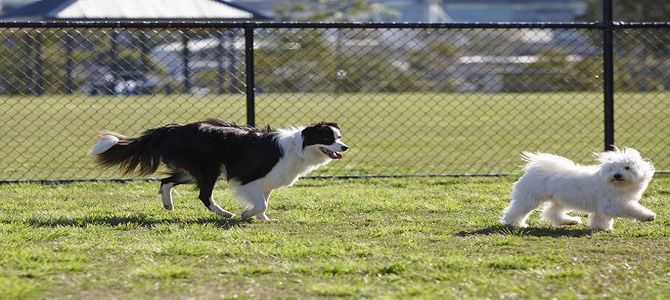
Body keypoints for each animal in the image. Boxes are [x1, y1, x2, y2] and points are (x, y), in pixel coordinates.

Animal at [89, 119, 350, 220]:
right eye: (328, 138)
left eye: (338, 137)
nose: (345, 147)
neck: (300, 147)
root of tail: (174, 128)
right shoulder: (249, 180)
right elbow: (261, 203)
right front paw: (246, 214)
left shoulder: (266, 183)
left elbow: (265, 202)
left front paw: (262, 218)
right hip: (209, 168)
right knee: (204, 195)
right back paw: (224, 213)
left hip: (193, 170)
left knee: (166, 182)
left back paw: (168, 204)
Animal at [504, 147, 656, 230]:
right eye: (612, 168)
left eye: (627, 167)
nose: (617, 175)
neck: (617, 185)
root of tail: (535, 169)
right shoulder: (613, 204)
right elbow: (632, 209)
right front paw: (648, 216)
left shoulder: (603, 206)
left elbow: (600, 217)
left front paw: (601, 227)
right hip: (530, 198)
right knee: (516, 210)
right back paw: (514, 223)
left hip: (558, 200)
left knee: (552, 212)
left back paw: (569, 221)